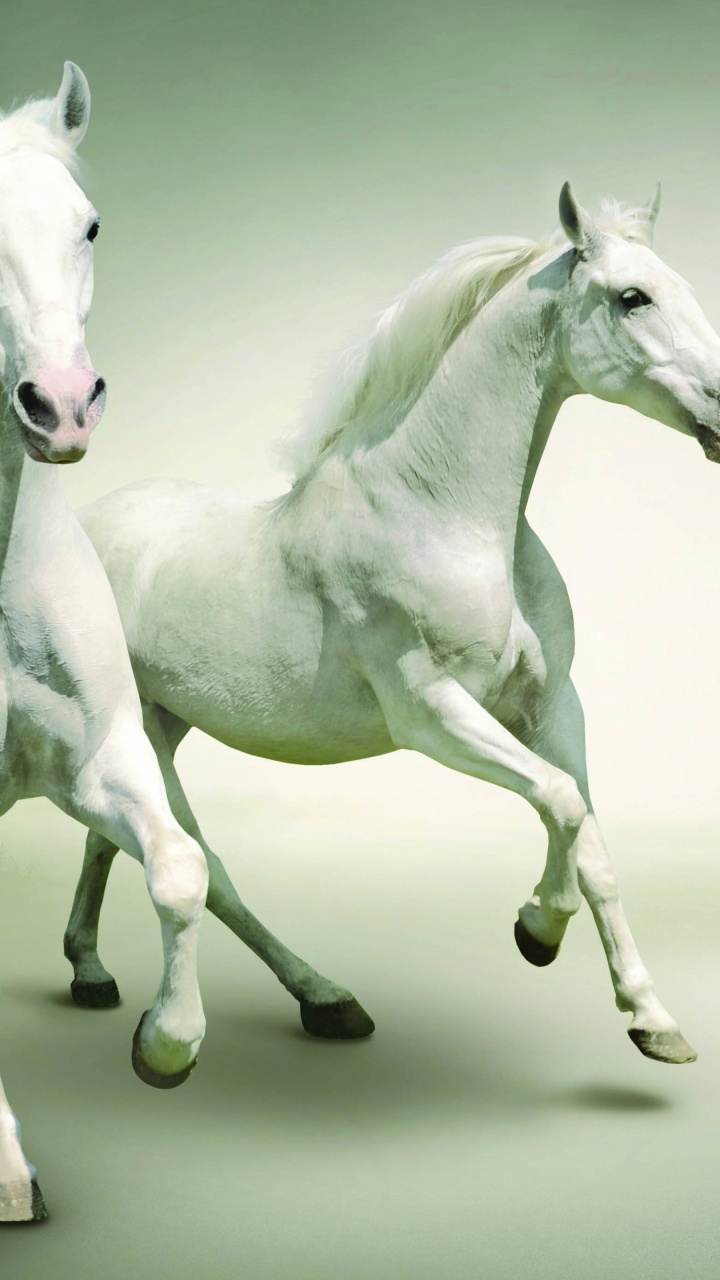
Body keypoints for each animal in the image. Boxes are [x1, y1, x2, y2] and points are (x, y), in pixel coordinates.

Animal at [68, 181, 720, 1083]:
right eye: (633, 297)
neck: (444, 514)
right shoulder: (432, 713)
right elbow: (559, 804)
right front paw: (537, 929)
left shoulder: (554, 707)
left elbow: (591, 841)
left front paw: (654, 1021)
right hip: (146, 735)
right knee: (197, 864)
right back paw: (307, 1001)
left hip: (156, 724)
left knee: (112, 841)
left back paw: (97, 972)